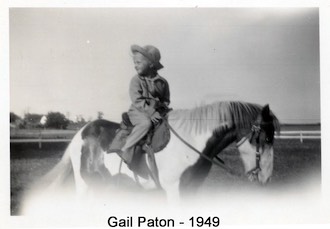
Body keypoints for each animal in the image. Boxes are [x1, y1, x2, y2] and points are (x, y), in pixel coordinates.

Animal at [39, 100, 282, 202]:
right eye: (266, 138)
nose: (268, 179)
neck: (191, 144)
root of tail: (81, 133)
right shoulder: (175, 191)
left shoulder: (191, 190)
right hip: (84, 184)